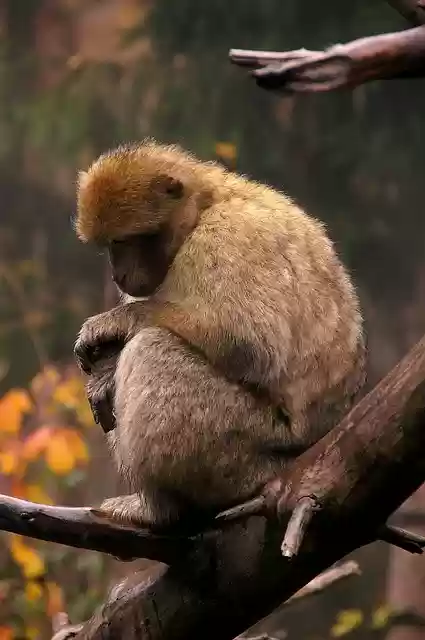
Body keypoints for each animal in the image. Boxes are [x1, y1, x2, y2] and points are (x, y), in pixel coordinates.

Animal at [74, 139, 366, 528]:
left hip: (255, 445)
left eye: (126, 241)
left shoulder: (227, 237)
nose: (118, 275)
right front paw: (104, 373)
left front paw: (115, 323)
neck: (205, 205)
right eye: (110, 246)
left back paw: (159, 509)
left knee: (152, 348)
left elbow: (248, 341)